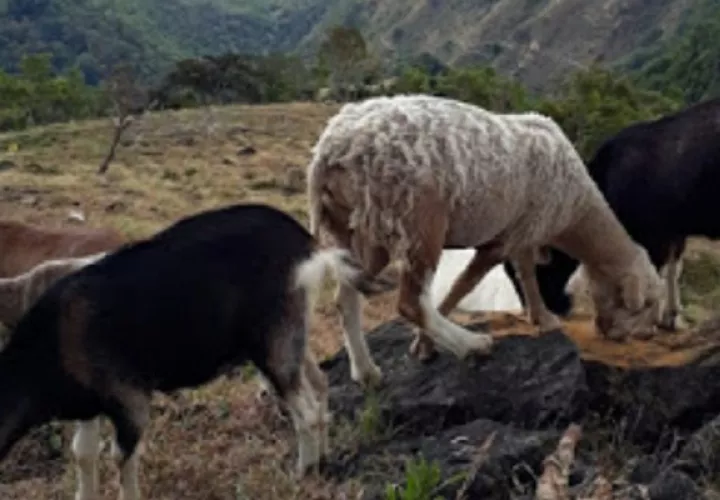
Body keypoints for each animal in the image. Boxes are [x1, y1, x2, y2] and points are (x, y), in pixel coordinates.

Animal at [0, 203, 391, 500]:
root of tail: (308, 245)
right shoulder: (88, 405)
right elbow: (83, 454)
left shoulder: (128, 397)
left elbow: (121, 457)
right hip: (291, 332)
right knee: (318, 383)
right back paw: (322, 459)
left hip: (273, 343)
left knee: (305, 409)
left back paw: (303, 472)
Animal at [307, 94, 664, 385]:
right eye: (644, 305)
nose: (639, 336)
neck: (576, 210)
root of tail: (330, 150)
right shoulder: (506, 238)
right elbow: (464, 285)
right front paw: (424, 344)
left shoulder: (524, 230)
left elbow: (527, 274)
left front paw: (542, 317)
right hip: (414, 215)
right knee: (409, 302)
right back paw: (471, 345)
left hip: (364, 227)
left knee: (346, 295)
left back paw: (365, 371)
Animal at [504, 98, 720, 330]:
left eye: (537, 272)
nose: (533, 315)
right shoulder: (674, 231)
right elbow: (672, 270)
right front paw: (670, 317)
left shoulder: (653, 233)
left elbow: (653, 273)